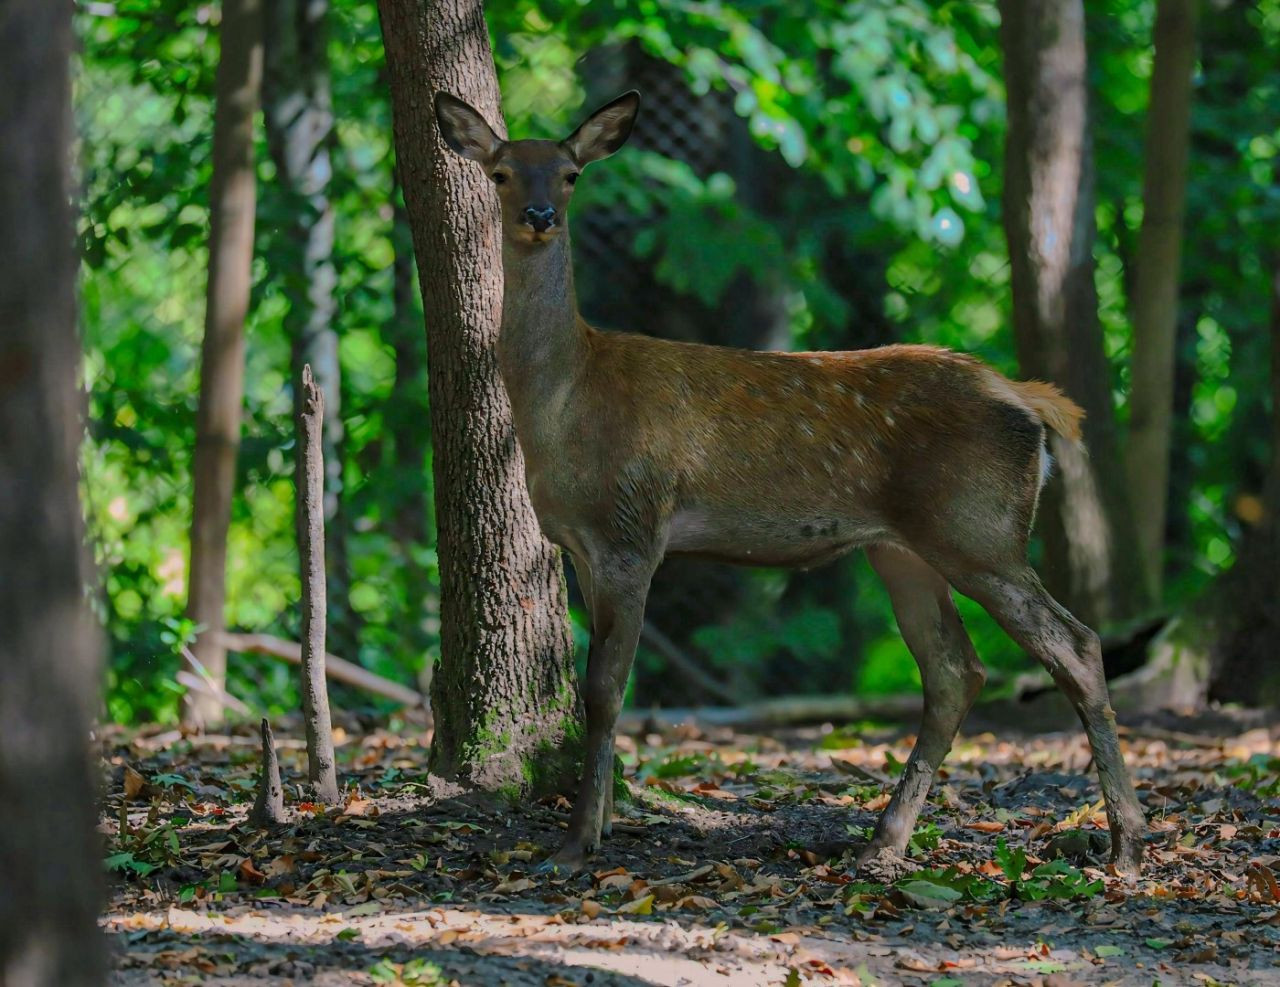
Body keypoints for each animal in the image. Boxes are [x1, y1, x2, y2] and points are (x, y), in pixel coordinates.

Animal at [435, 90, 1146, 880]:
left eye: (569, 174)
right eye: (501, 172)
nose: (539, 215)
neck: (565, 401)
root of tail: (1031, 403)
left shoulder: (631, 529)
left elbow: (604, 689)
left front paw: (575, 841)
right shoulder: (582, 546)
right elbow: (607, 688)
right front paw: (606, 820)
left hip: (979, 528)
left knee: (1075, 645)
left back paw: (1124, 843)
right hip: (903, 549)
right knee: (955, 670)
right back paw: (884, 840)